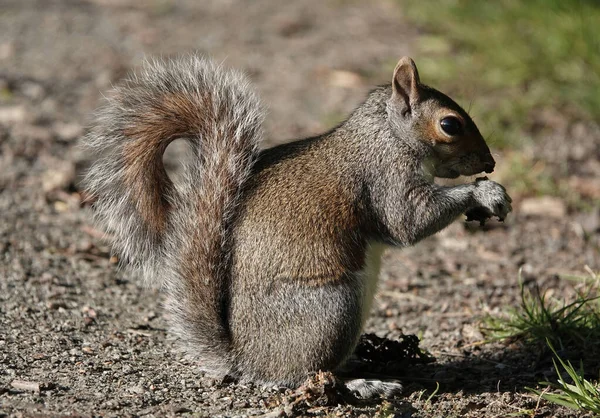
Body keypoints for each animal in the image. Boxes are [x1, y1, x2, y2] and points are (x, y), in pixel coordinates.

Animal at [84, 54, 512, 396]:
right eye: (450, 125)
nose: (490, 163)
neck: (387, 133)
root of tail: (247, 360)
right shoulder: (385, 177)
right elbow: (408, 222)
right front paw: (485, 194)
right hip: (332, 308)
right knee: (303, 374)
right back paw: (362, 384)